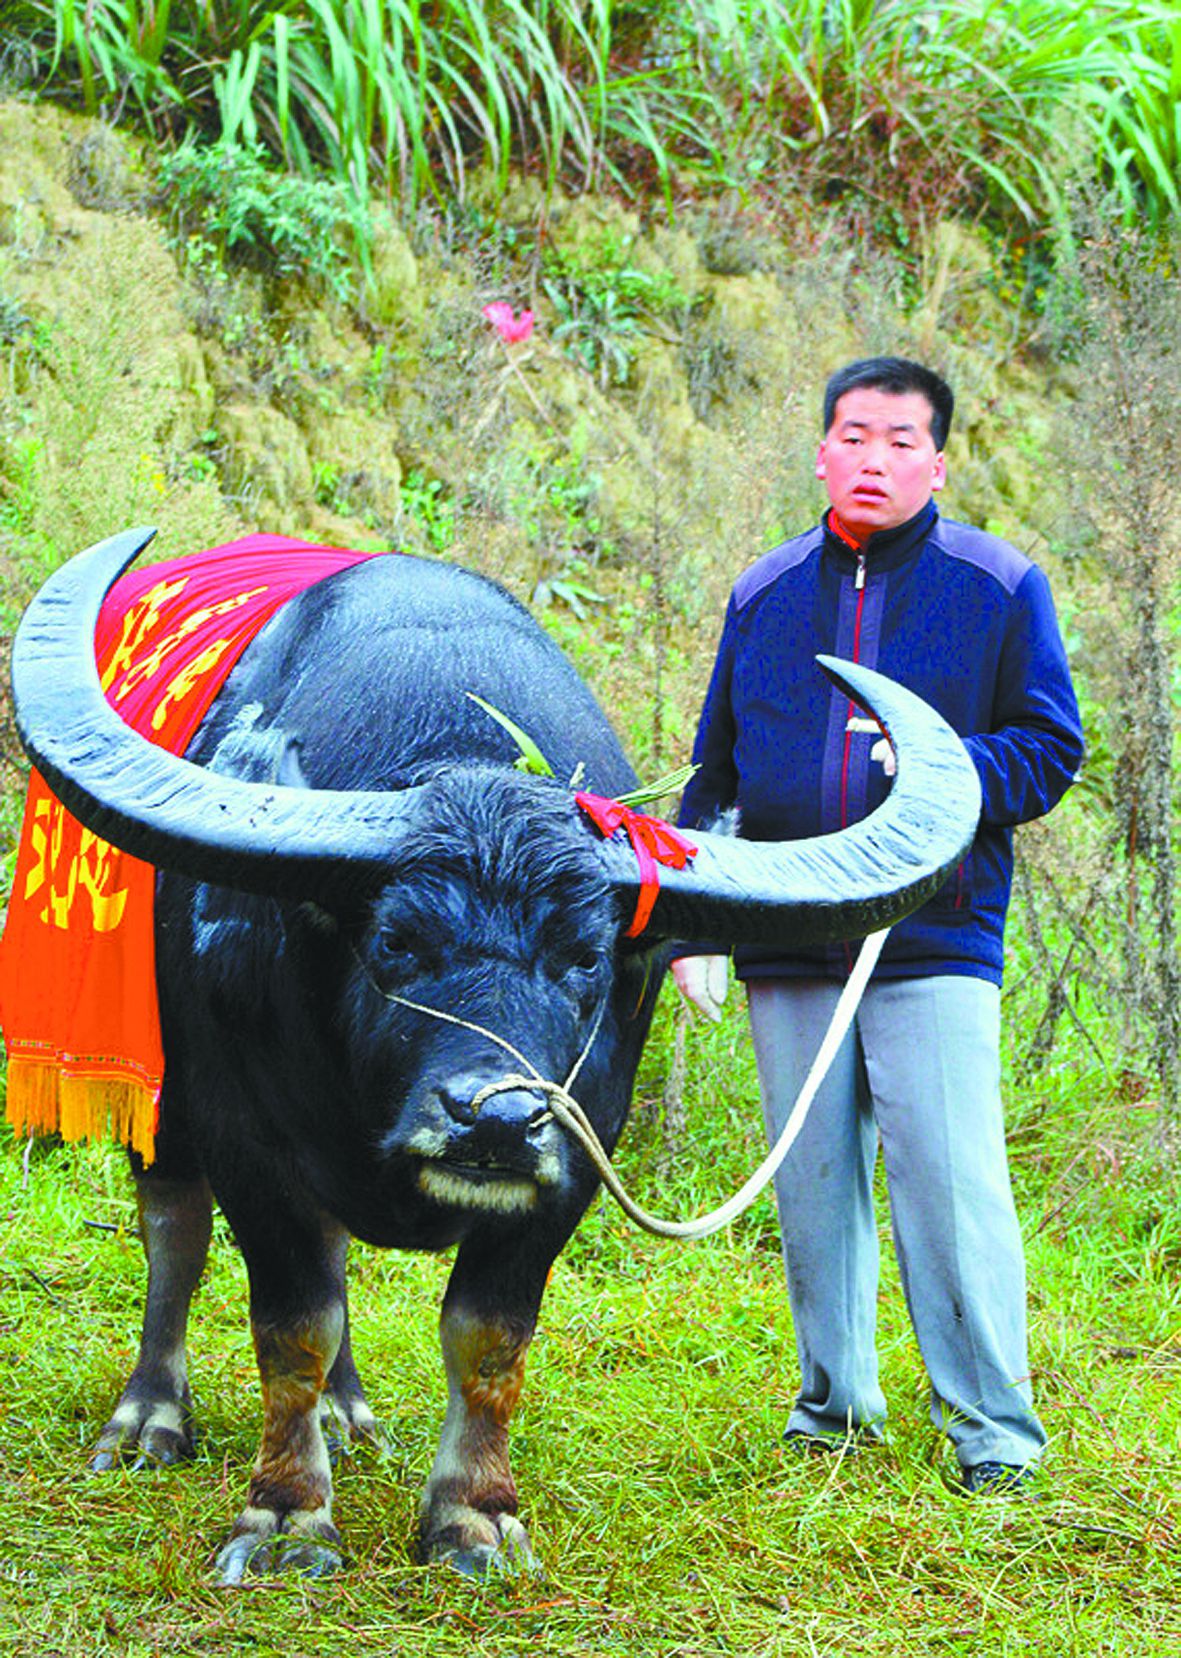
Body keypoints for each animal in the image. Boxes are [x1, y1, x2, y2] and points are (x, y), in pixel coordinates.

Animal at [9, 527, 975, 1578]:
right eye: (396, 941)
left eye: (585, 956)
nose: (497, 1120)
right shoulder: (245, 1137)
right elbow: (293, 1324)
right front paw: (287, 1517)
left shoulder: (576, 1156)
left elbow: (487, 1337)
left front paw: (472, 1516)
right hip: (160, 1097)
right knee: (174, 1233)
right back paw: (148, 1420)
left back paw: (350, 1415)